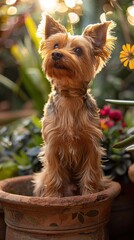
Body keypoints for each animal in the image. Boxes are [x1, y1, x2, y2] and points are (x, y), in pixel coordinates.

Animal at [33, 14, 115, 197]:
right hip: (41, 179)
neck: (69, 95)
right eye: (56, 45)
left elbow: (90, 174)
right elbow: (54, 175)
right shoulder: (52, 145)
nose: (56, 54)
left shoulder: (91, 145)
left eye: (78, 50)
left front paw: (89, 195)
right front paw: (53, 198)